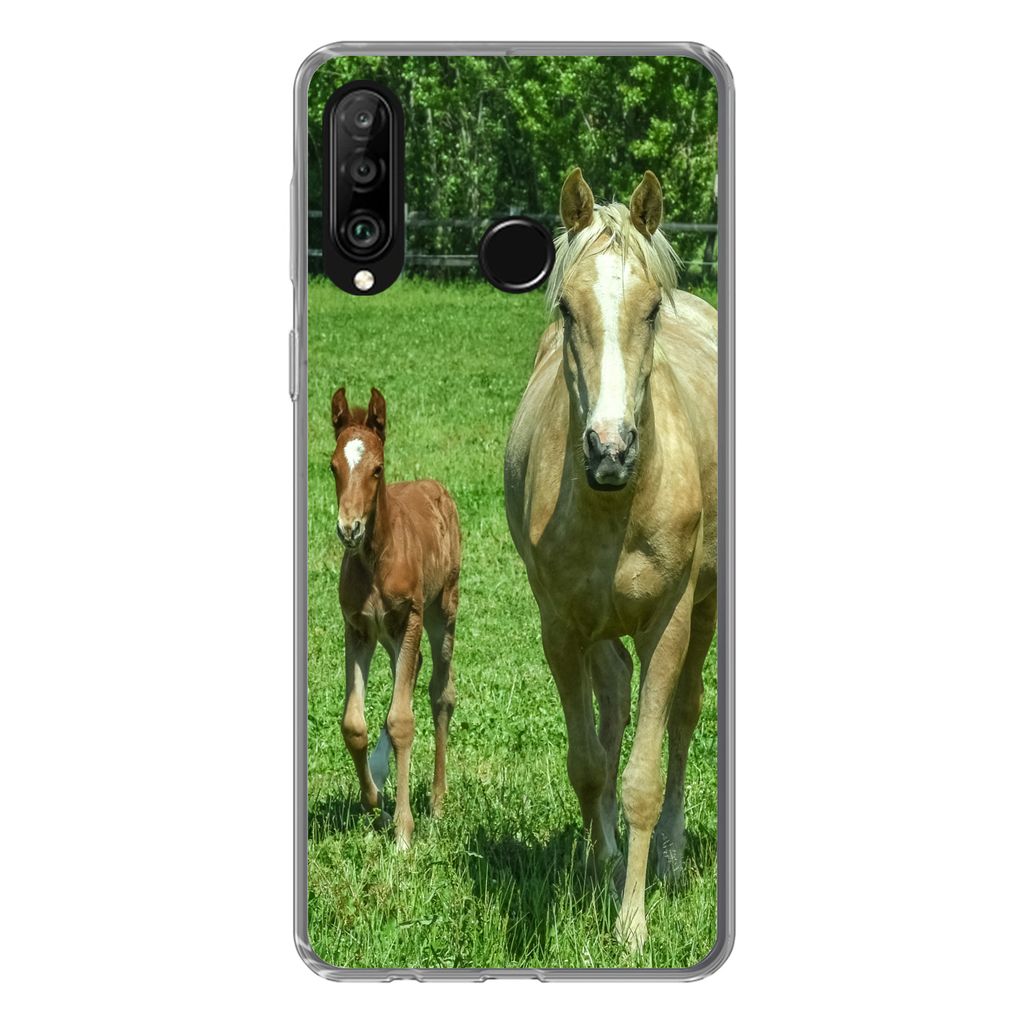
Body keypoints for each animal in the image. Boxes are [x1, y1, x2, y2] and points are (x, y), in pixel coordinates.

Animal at [330, 386, 461, 849]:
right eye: (332, 466)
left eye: (377, 468)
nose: (349, 528)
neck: (376, 557)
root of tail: (436, 486)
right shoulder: (357, 627)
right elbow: (354, 723)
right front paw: (377, 803)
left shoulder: (410, 619)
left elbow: (402, 719)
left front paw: (404, 830)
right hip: (389, 634)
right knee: (410, 671)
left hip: (441, 611)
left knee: (440, 692)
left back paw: (437, 803)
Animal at [503, 169, 718, 950]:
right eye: (567, 308)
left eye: (650, 310)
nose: (610, 449)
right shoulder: (560, 629)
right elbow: (590, 764)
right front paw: (601, 872)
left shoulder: (668, 621)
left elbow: (643, 778)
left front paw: (631, 924)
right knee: (614, 703)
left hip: (703, 609)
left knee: (683, 717)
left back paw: (673, 863)